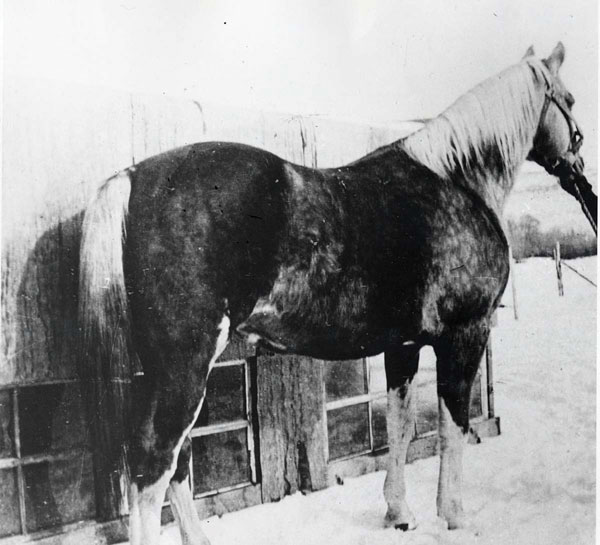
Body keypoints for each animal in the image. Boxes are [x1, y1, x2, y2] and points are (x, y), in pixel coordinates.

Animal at [78, 43, 584, 544]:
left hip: (166, 371)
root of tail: (134, 176)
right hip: (186, 365)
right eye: (571, 100)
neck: (456, 183)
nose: (578, 168)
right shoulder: (465, 335)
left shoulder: (402, 346)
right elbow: (452, 426)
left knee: (175, 460)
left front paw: (399, 513)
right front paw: (454, 517)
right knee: (154, 464)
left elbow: (400, 427)